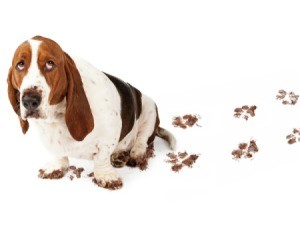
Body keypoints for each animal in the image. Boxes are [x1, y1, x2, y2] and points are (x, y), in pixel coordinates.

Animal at [7, 36, 176, 189]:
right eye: (20, 65)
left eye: (50, 63)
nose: (29, 101)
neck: (58, 115)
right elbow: (57, 153)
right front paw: (56, 167)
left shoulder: (109, 135)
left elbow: (102, 157)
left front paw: (105, 176)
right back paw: (120, 155)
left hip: (150, 109)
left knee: (142, 140)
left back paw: (136, 153)